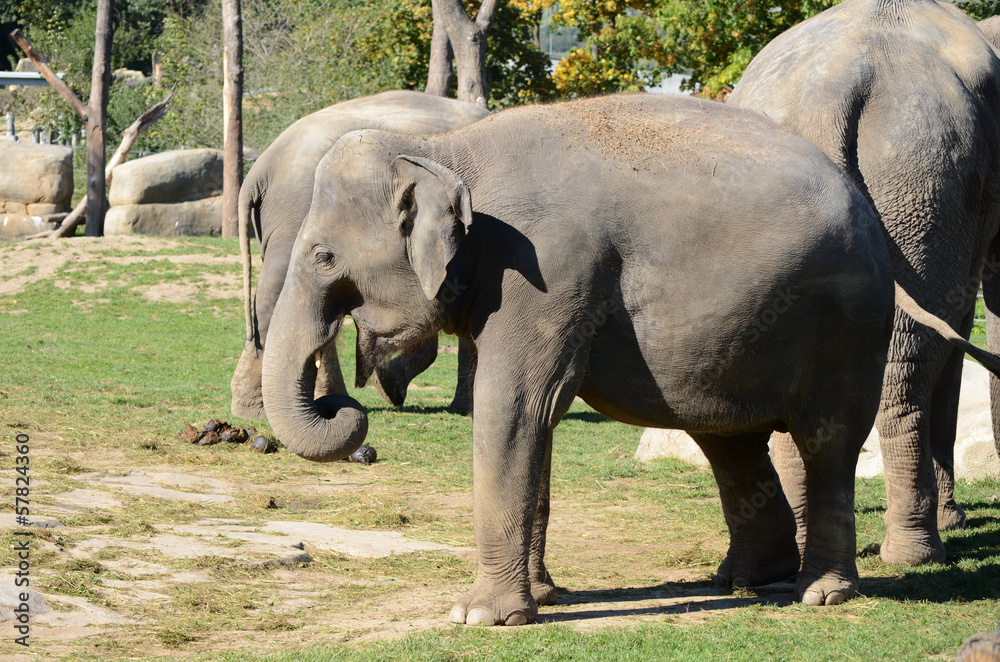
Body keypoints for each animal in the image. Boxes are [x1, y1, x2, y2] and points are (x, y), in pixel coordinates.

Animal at [260, 91, 909, 622]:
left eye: (322, 257)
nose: (344, 408)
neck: (446, 150)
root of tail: (866, 205)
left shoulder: (545, 272)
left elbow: (514, 407)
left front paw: (479, 616)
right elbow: (536, 419)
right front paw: (545, 598)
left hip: (849, 323)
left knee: (826, 441)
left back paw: (821, 593)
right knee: (730, 439)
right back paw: (748, 583)